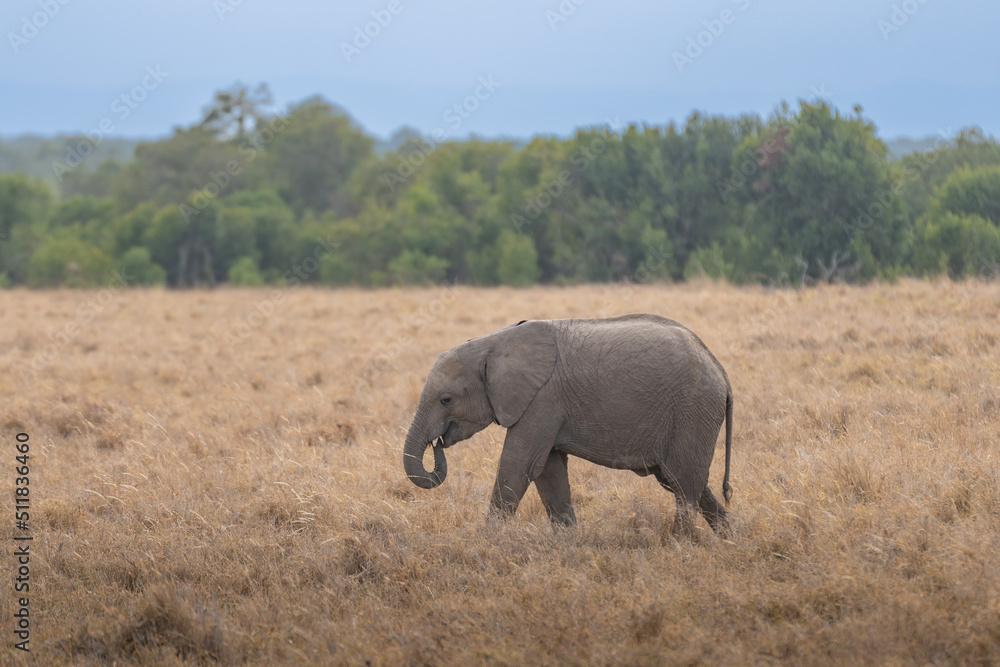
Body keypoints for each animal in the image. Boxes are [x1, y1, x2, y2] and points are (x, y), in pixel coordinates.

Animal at [402, 314, 734, 535]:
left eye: (446, 400)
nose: (437, 443)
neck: (492, 345)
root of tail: (721, 371)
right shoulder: (545, 406)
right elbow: (548, 470)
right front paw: (568, 542)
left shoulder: (542, 399)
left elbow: (519, 464)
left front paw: (486, 541)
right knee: (683, 481)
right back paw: (728, 540)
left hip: (693, 411)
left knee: (683, 483)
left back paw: (680, 543)